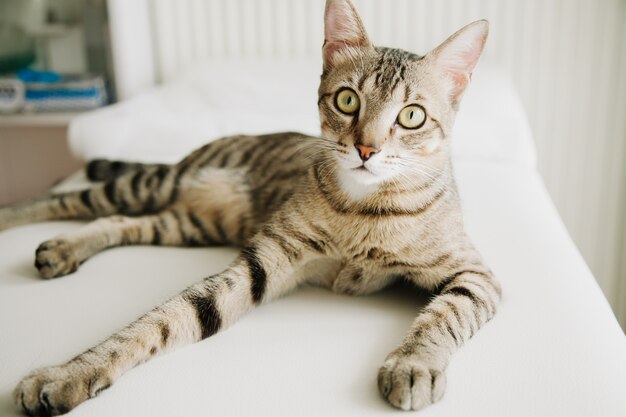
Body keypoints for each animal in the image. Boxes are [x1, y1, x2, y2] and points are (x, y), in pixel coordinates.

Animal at [3, 1, 498, 414]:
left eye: (412, 116)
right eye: (347, 99)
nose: (366, 148)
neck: (366, 211)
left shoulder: (476, 275)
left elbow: (444, 317)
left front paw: (413, 364)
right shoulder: (265, 260)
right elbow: (160, 320)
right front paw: (71, 372)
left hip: (190, 223)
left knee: (121, 221)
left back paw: (64, 249)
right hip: (157, 185)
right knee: (66, 199)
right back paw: (22, 222)